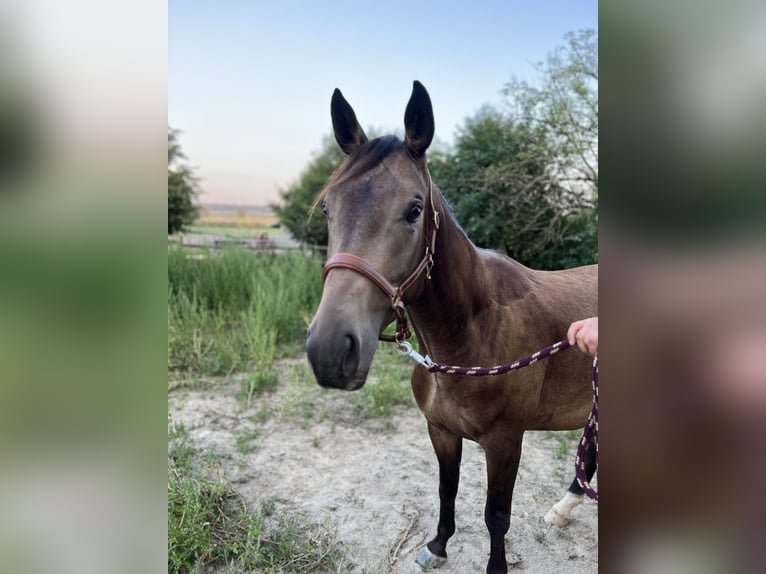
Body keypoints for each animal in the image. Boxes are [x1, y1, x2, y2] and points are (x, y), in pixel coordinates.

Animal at [308, 81, 600, 574]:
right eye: (328, 208)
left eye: (414, 210)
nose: (331, 350)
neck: (471, 336)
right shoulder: (441, 431)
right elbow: (447, 490)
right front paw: (439, 545)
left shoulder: (505, 442)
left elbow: (496, 516)